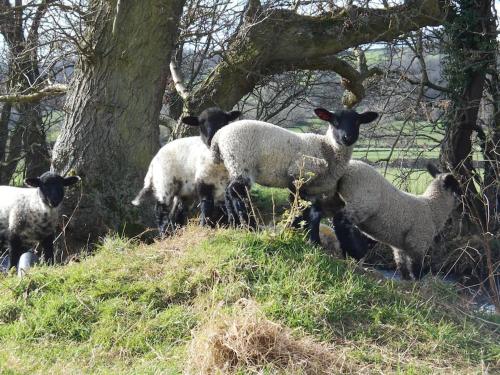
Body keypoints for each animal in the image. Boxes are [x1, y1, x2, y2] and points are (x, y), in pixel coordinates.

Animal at [132, 106, 241, 235]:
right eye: (201, 124)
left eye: (224, 121)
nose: (211, 139)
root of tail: (153, 163)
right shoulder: (203, 181)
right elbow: (206, 205)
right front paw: (205, 227)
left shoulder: (227, 184)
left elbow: (228, 205)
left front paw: (233, 225)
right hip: (165, 183)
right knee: (161, 210)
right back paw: (164, 234)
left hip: (183, 189)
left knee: (178, 211)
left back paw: (178, 230)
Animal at [211, 108, 378, 244]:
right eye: (335, 121)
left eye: (357, 121)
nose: (347, 138)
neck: (327, 149)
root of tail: (218, 137)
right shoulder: (297, 177)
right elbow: (299, 208)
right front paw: (298, 235)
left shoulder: (312, 189)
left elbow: (312, 214)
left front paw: (310, 239)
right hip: (242, 162)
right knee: (236, 192)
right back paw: (250, 226)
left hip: (231, 164)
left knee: (228, 193)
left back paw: (234, 224)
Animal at [328, 162, 460, 282]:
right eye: (456, 186)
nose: (462, 196)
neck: (432, 208)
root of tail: (349, 166)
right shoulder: (417, 241)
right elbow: (416, 265)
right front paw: (418, 281)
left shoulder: (401, 246)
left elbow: (402, 263)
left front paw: (406, 279)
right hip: (362, 201)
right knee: (340, 220)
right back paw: (354, 251)